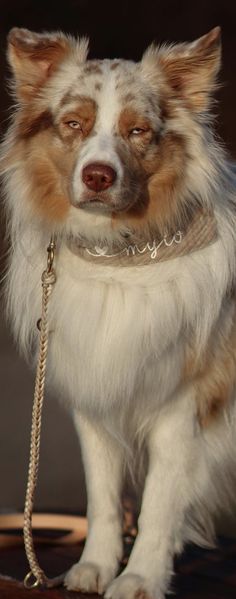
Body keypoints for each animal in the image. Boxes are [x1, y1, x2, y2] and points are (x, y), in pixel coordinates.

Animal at [1, 24, 236, 599]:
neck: (122, 256)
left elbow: (159, 501)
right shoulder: (96, 388)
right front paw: (95, 566)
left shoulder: (184, 402)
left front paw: (141, 577)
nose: (99, 176)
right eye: (74, 124)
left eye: (137, 131)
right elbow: (103, 494)